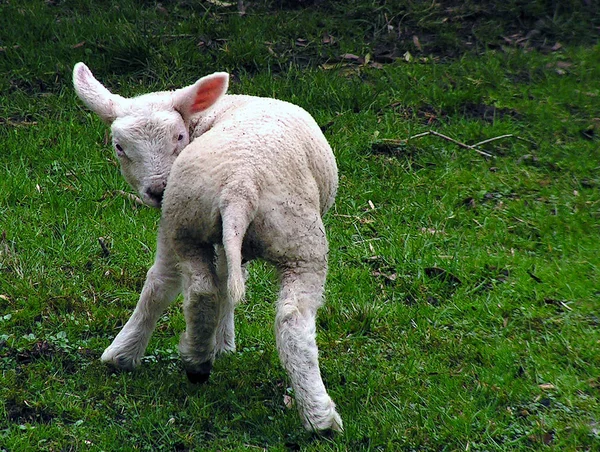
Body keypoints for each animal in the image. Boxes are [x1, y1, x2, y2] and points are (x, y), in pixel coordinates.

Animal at [71, 61, 342, 432]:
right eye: (119, 146)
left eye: (178, 137)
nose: (157, 190)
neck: (200, 119)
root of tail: (241, 185)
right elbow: (222, 278)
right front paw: (223, 343)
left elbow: (199, 280)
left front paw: (219, 343)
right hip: (299, 241)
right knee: (290, 319)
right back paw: (319, 416)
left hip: (185, 220)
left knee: (197, 289)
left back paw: (193, 359)